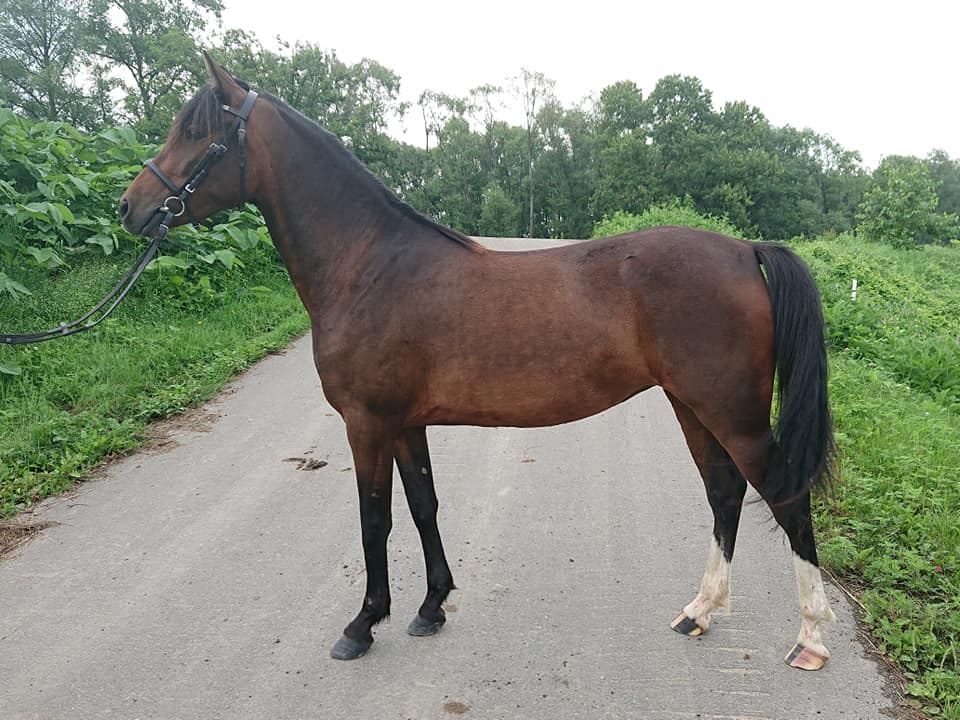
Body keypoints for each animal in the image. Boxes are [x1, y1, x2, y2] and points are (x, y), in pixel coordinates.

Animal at [119, 53, 837, 671]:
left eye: (197, 131)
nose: (131, 207)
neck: (370, 264)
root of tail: (745, 249)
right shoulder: (406, 423)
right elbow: (424, 506)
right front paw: (431, 607)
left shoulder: (366, 422)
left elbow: (374, 519)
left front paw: (363, 625)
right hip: (691, 404)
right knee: (724, 491)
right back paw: (700, 611)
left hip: (731, 411)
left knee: (784, 494)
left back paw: (809, 639)